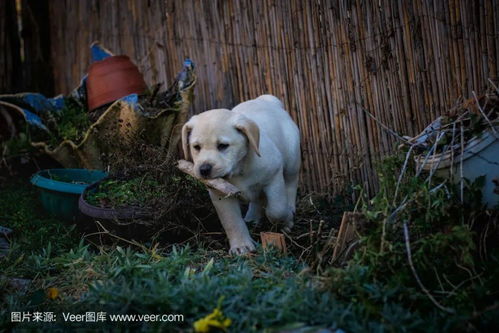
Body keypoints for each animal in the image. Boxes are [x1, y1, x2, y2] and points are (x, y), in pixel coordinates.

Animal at [183, 94, 300, 254]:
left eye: (223, 146)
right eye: (196, 147)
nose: (204, 169)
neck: (238, 170)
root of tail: (267, 99)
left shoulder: (274, 177)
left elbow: (277, 210)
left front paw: (286, 220)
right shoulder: (221, 195)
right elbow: (232, 222)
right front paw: (241, 246)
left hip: (291, 160)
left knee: (290, 184)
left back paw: (290, 208)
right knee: (257, 199)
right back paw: (252, 217)